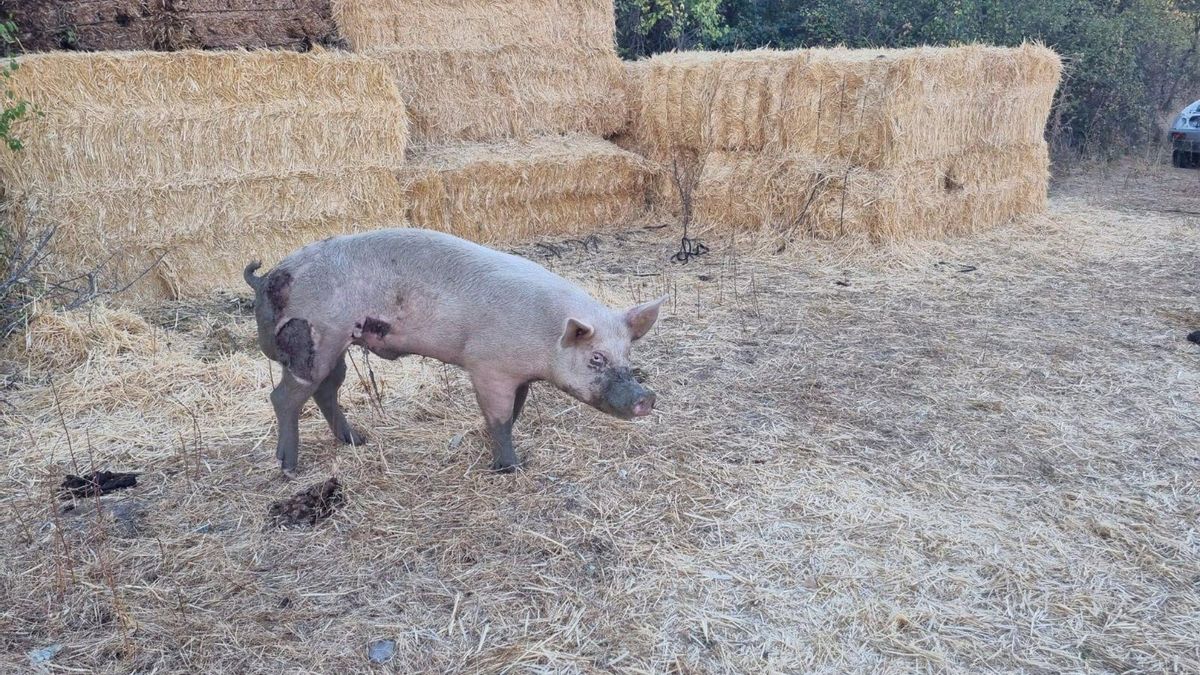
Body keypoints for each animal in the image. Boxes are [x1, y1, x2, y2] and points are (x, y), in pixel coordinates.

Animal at [243, 228, 666, 476]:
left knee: (326, 391)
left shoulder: (517, 375)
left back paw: (357, 441)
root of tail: (266, 278)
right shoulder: (488, 366)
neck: (547, 338)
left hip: (336, 346)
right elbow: (500, 417)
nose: (646, 398)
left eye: (627, 354)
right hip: (313, 341)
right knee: (284, 397)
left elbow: (514, 412)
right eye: (596, 358)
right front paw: (509, 468)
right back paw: (289, 468)